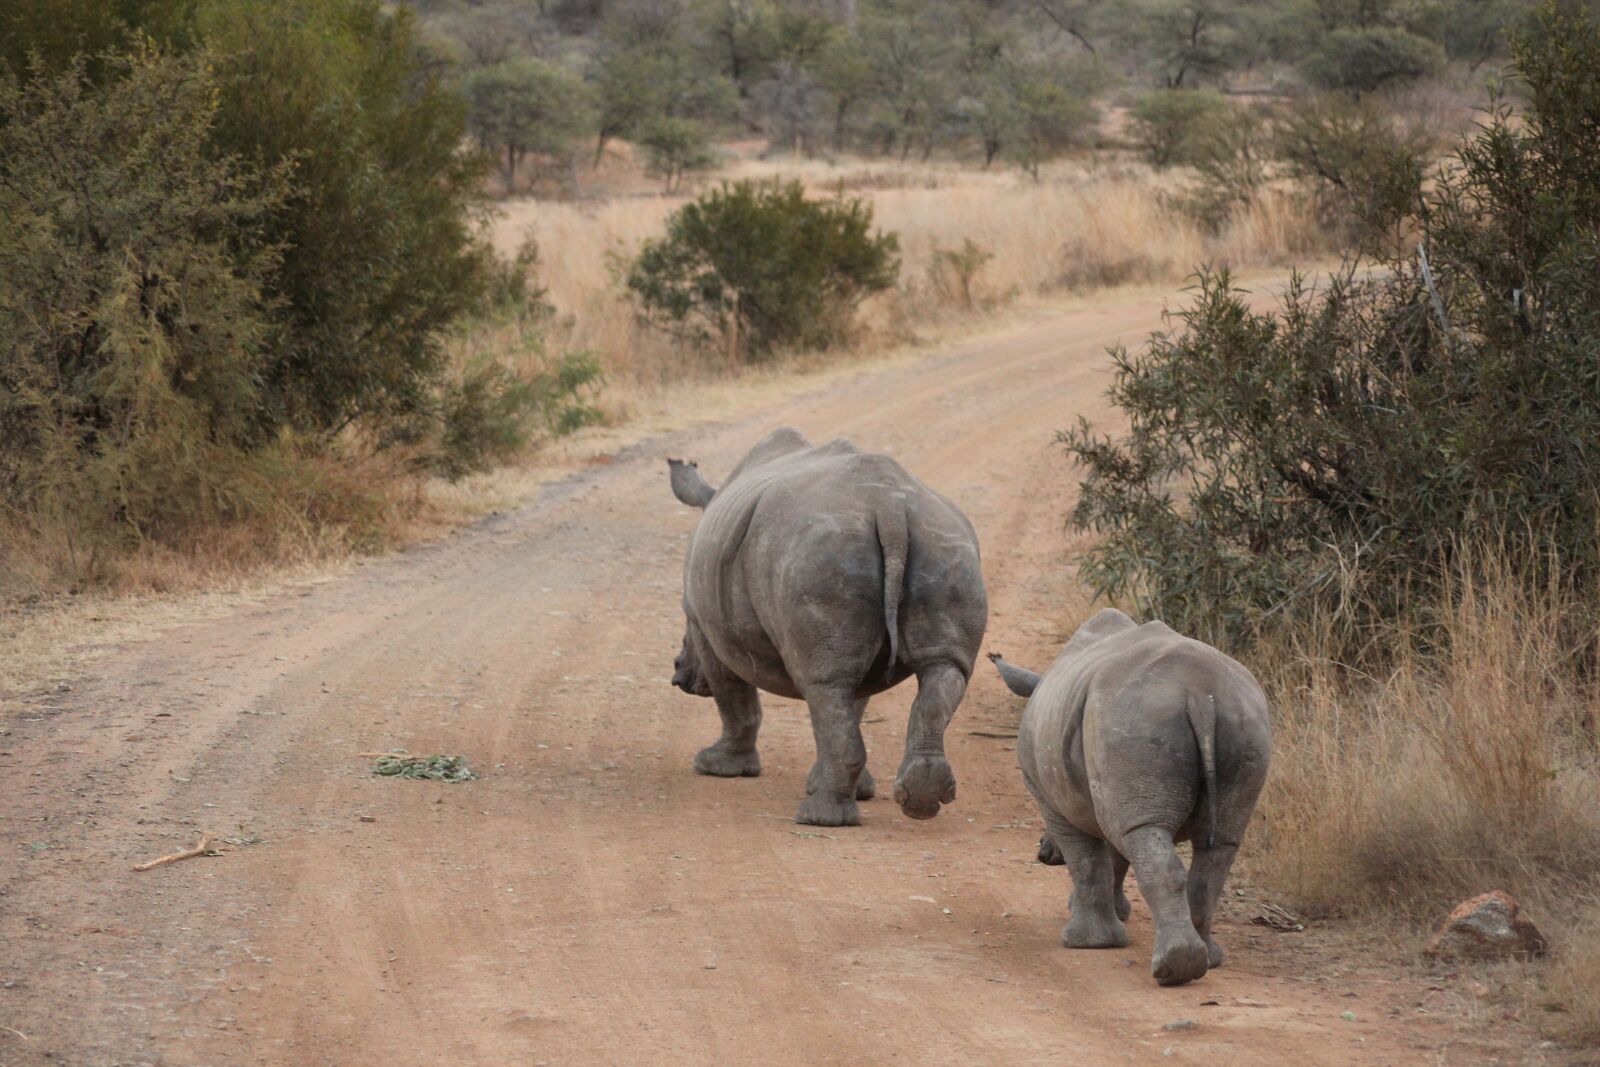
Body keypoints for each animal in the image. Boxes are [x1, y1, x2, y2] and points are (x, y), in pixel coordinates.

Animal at [667, 427, 988, 827]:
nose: (678, 674)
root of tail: (889, 508)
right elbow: (853, 703)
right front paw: (846, 788)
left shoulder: (706, 624)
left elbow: (734, 697)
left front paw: (716, 767)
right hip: (941, 547)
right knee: (938, 670)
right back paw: (919, 802)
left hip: (819, 555)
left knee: (824, 685)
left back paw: (818, 818)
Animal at [990, 608, 1271, 986]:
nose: (1043, 853)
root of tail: (1200, 693)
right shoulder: (1114, 792)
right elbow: (1115, 856)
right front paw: (1118, 914)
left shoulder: (1053, 799)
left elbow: (1086, 858)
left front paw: (1088, 942)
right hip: (1243, 721)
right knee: (1219, 843)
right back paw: (1206, 960)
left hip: (1136, 719)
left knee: (1143, 836)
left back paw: (1173, 969)